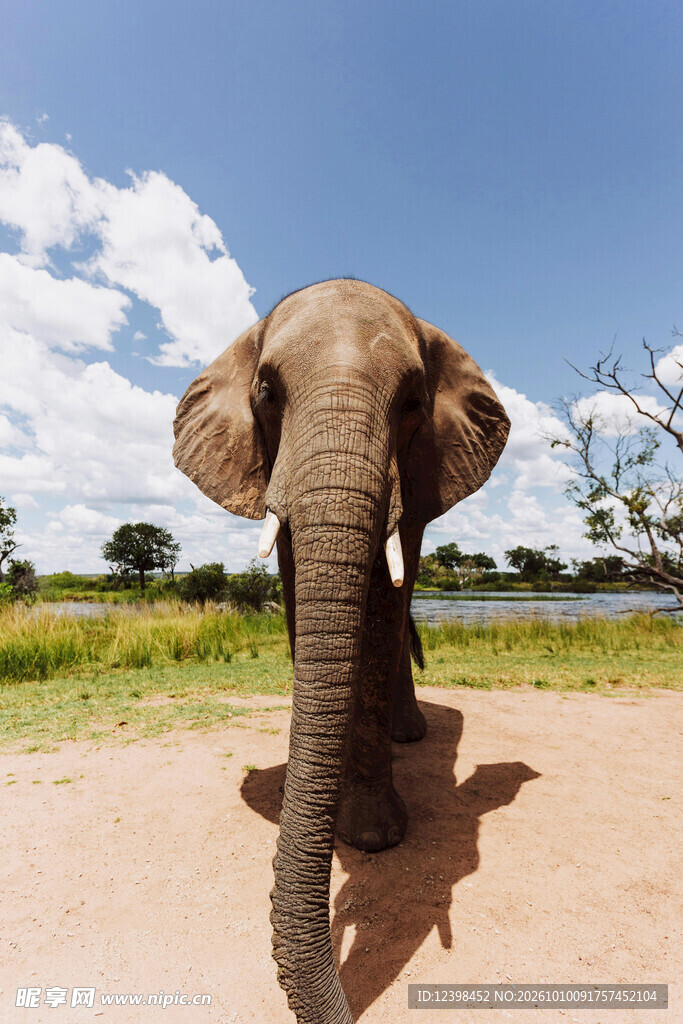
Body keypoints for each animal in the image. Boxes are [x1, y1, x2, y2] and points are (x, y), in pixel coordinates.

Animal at [172, 279, 510, 1023]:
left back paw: (410, 735)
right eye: (267, 392)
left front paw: (374, 838)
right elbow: (302, 598)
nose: (347, 1009)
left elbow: (383, 611)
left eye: (412, 402)